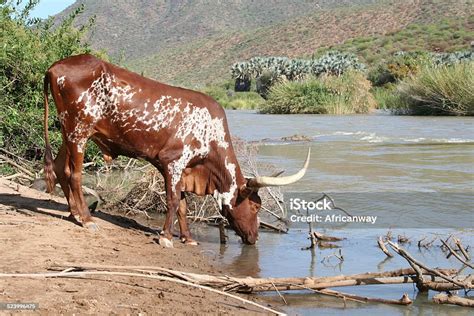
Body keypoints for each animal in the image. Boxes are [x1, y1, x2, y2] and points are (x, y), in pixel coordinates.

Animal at [43, 53, 312, 247]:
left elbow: (183, 203)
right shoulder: (173, 162)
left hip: (68, 133)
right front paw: (165, 236)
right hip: (79, 132)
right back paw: (87, 219)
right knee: (75, 175)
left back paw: (74, 214)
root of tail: (55, 66)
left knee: (60, 168)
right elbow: (173, 200)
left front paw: (187, 237)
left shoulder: (184, 170)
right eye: (255, 207)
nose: (254, 237)